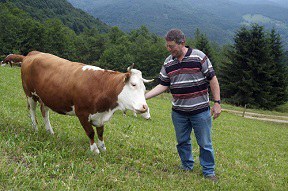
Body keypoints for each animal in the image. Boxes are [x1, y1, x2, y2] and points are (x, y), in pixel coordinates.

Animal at [18, 50, 152, 154]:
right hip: (30, 94)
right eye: (133, 84)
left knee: (44, 112)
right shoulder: (82, 113)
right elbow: (91, 132)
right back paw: (35, 128)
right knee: (32, 110)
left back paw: (49, 131)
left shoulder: (100, 115)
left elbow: (100, 133)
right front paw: (94, 150)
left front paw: (103, 148)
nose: (144, 107)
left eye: (144, 89)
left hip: (45, 97)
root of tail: (33, 53)